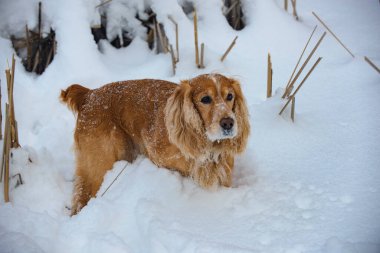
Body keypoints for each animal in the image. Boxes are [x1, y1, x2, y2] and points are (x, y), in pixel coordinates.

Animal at [60, 73, 249, 215]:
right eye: (205, 99)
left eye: (230, 96)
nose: (228, 123)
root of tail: (89, 94)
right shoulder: (159, 158)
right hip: (99, 164)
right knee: (82, 198)